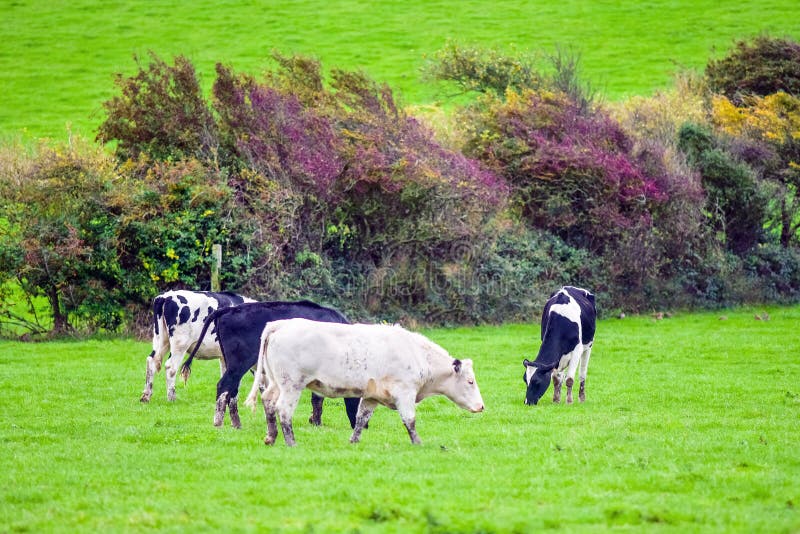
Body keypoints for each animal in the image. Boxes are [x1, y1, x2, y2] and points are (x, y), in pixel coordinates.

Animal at [180, 300, 360, 430]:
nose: (363, 426)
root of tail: (228, 310)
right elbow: (317, 398)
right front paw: (316, 422)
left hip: (230, 363)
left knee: (232, 390)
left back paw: (236, 424)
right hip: (239, 363)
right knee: (224, 386)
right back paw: (218, 422)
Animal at [245, 318, 485, 446]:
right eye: (470, 381)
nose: (481, 406)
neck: (416, 353)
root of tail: (282, 324)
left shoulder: (371, 396)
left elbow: (361, 419)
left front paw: (353, 441)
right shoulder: (405, 393)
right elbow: (410, 420)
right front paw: (418, 443)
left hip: (275, 383)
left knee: (268, 402)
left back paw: (271, 437)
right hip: (291, 386)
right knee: (284, 410)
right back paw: (291, 442)